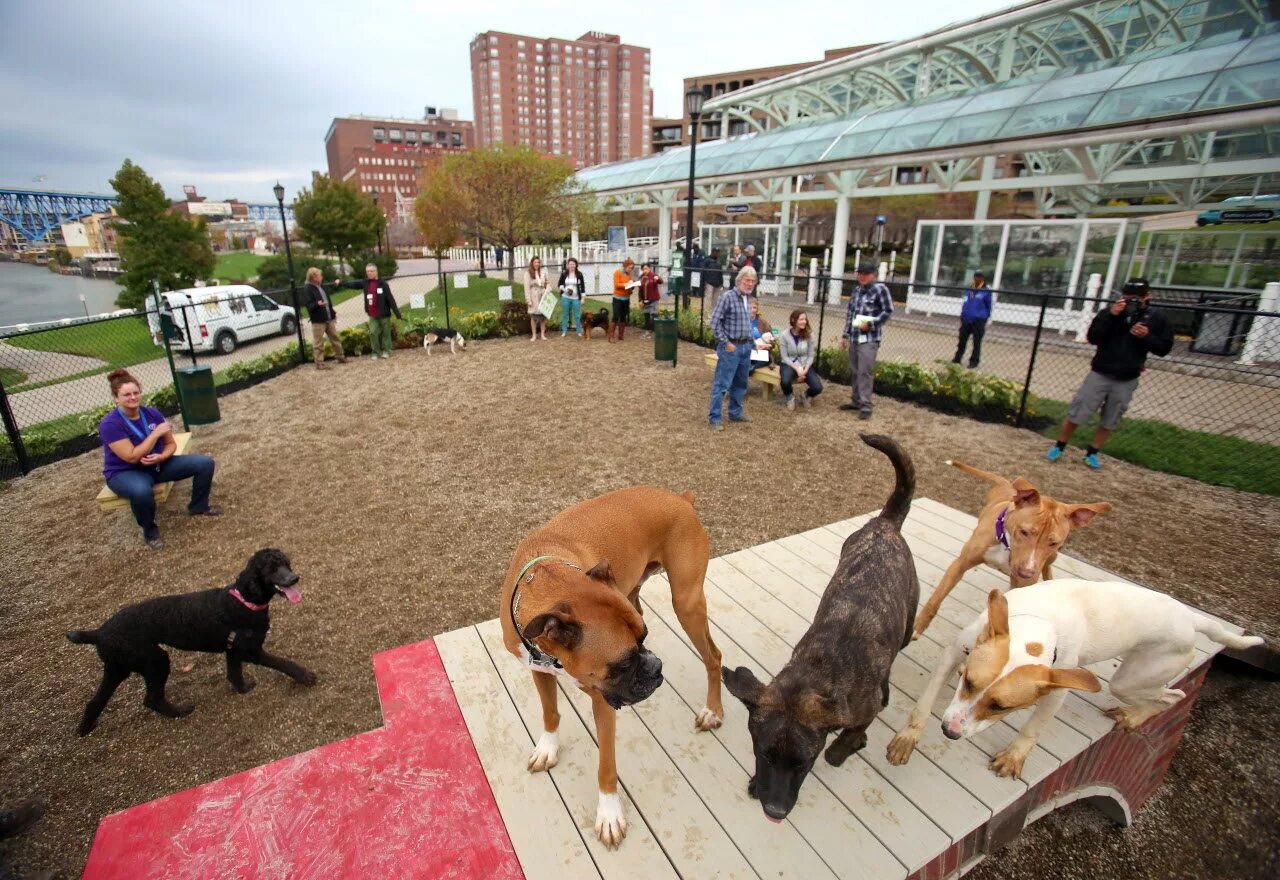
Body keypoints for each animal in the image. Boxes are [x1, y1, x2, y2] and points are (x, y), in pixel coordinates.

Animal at [66, 547, 314, 731]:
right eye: (272, 569)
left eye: (287, 564)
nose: (294, 578)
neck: (244, 600)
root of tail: (100, 632)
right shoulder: (250, 651)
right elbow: (283, 663)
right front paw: (306, 676)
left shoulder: (232, 650)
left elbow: (234, 674)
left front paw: (243, 689)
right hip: (154, 660)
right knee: (151, 699)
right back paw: (180, 712)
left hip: (118, 668)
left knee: (96, 701)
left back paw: (84, 729)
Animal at [496, 483, 727, 849]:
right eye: (624, 662)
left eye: (643, 641)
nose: (655, 668)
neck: (548, 575)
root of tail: (680, 499)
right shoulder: (539, 668)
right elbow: (550, 712)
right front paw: (548, 748)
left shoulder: (602, 699)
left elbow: (606, 764)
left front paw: (608, 814)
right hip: (634, 589)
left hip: (687, 602)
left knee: (713, 657)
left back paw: (712, 711)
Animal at [727, 437, 916, 823]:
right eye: (763, 753)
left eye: (804, 763)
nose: (774, 810)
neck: (816, 671)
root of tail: (885, 523)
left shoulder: (861, 711)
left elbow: (848, 736)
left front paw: (845, 748)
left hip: (909, 624)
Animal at [885, 583, 1264, 777]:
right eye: (968, 683)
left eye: (1001, 707)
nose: (949, 731)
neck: (1040, 621)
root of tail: (1190, 618)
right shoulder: (954, 653)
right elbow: (923, 705)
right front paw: (907, 739)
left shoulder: (1056, 690)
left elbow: (1033, 727)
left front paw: (1014, 757)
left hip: (1132, 679)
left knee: (1172, 697)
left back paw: (1135, 716)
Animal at [911, 460, 1111, 639]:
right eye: (1024, 531)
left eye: (1053, 542)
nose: (1027, 572)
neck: (1006, 546)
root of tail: (1007, 484)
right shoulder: (960, 564)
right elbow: (936, 598)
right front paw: (918, 626)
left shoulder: (1022, 583)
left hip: (1051, 559)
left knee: (1047, 568)